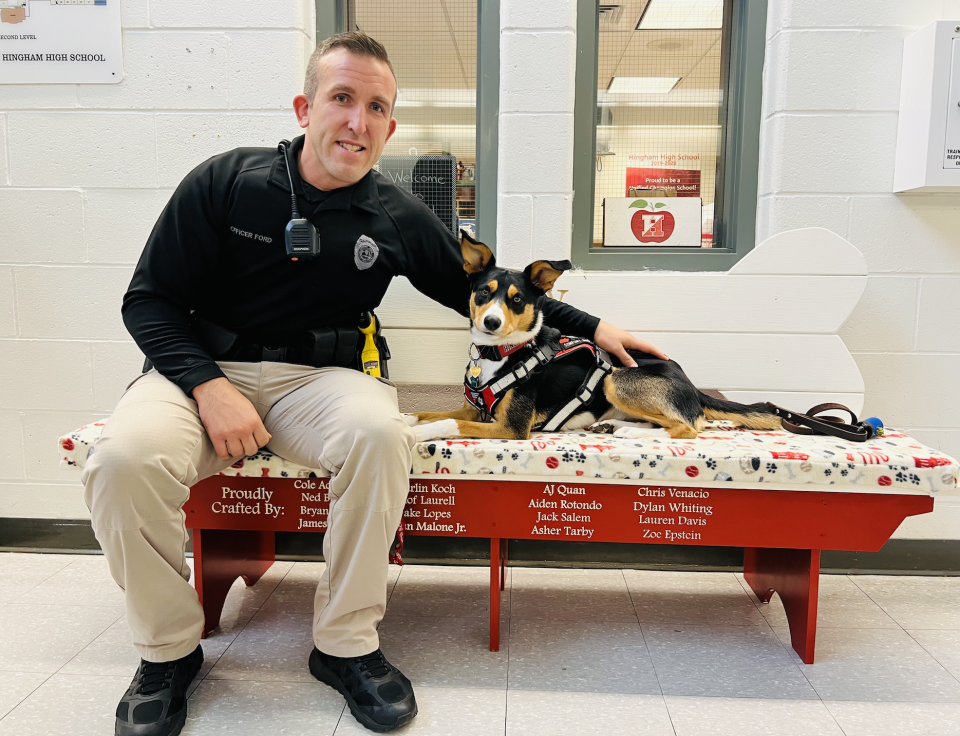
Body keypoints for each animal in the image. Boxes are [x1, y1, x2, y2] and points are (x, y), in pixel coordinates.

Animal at [410, 234, 780, 442]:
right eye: (484, 292)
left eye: (517, 300)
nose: (490, 321)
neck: (501, 354)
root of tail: (690, 383)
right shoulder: (473, 412)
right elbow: (433, 413)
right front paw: (409, 419)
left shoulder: (512, 428)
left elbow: (447, 424)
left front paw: (419, 432)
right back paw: (613, 425)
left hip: (616, 379)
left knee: (689, 427)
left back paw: (630, 431)